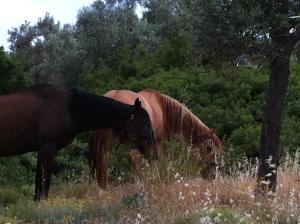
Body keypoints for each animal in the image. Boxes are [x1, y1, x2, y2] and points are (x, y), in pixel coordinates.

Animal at [87, 88, 223, 190]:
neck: (162, 109)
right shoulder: (156, 142)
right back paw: (141, 181)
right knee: (132, 157)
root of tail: (114, 96)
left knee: (102, 159)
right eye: (209, 148)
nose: (213, 175)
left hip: (105, 142)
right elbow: (157, 160)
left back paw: (103, 187)